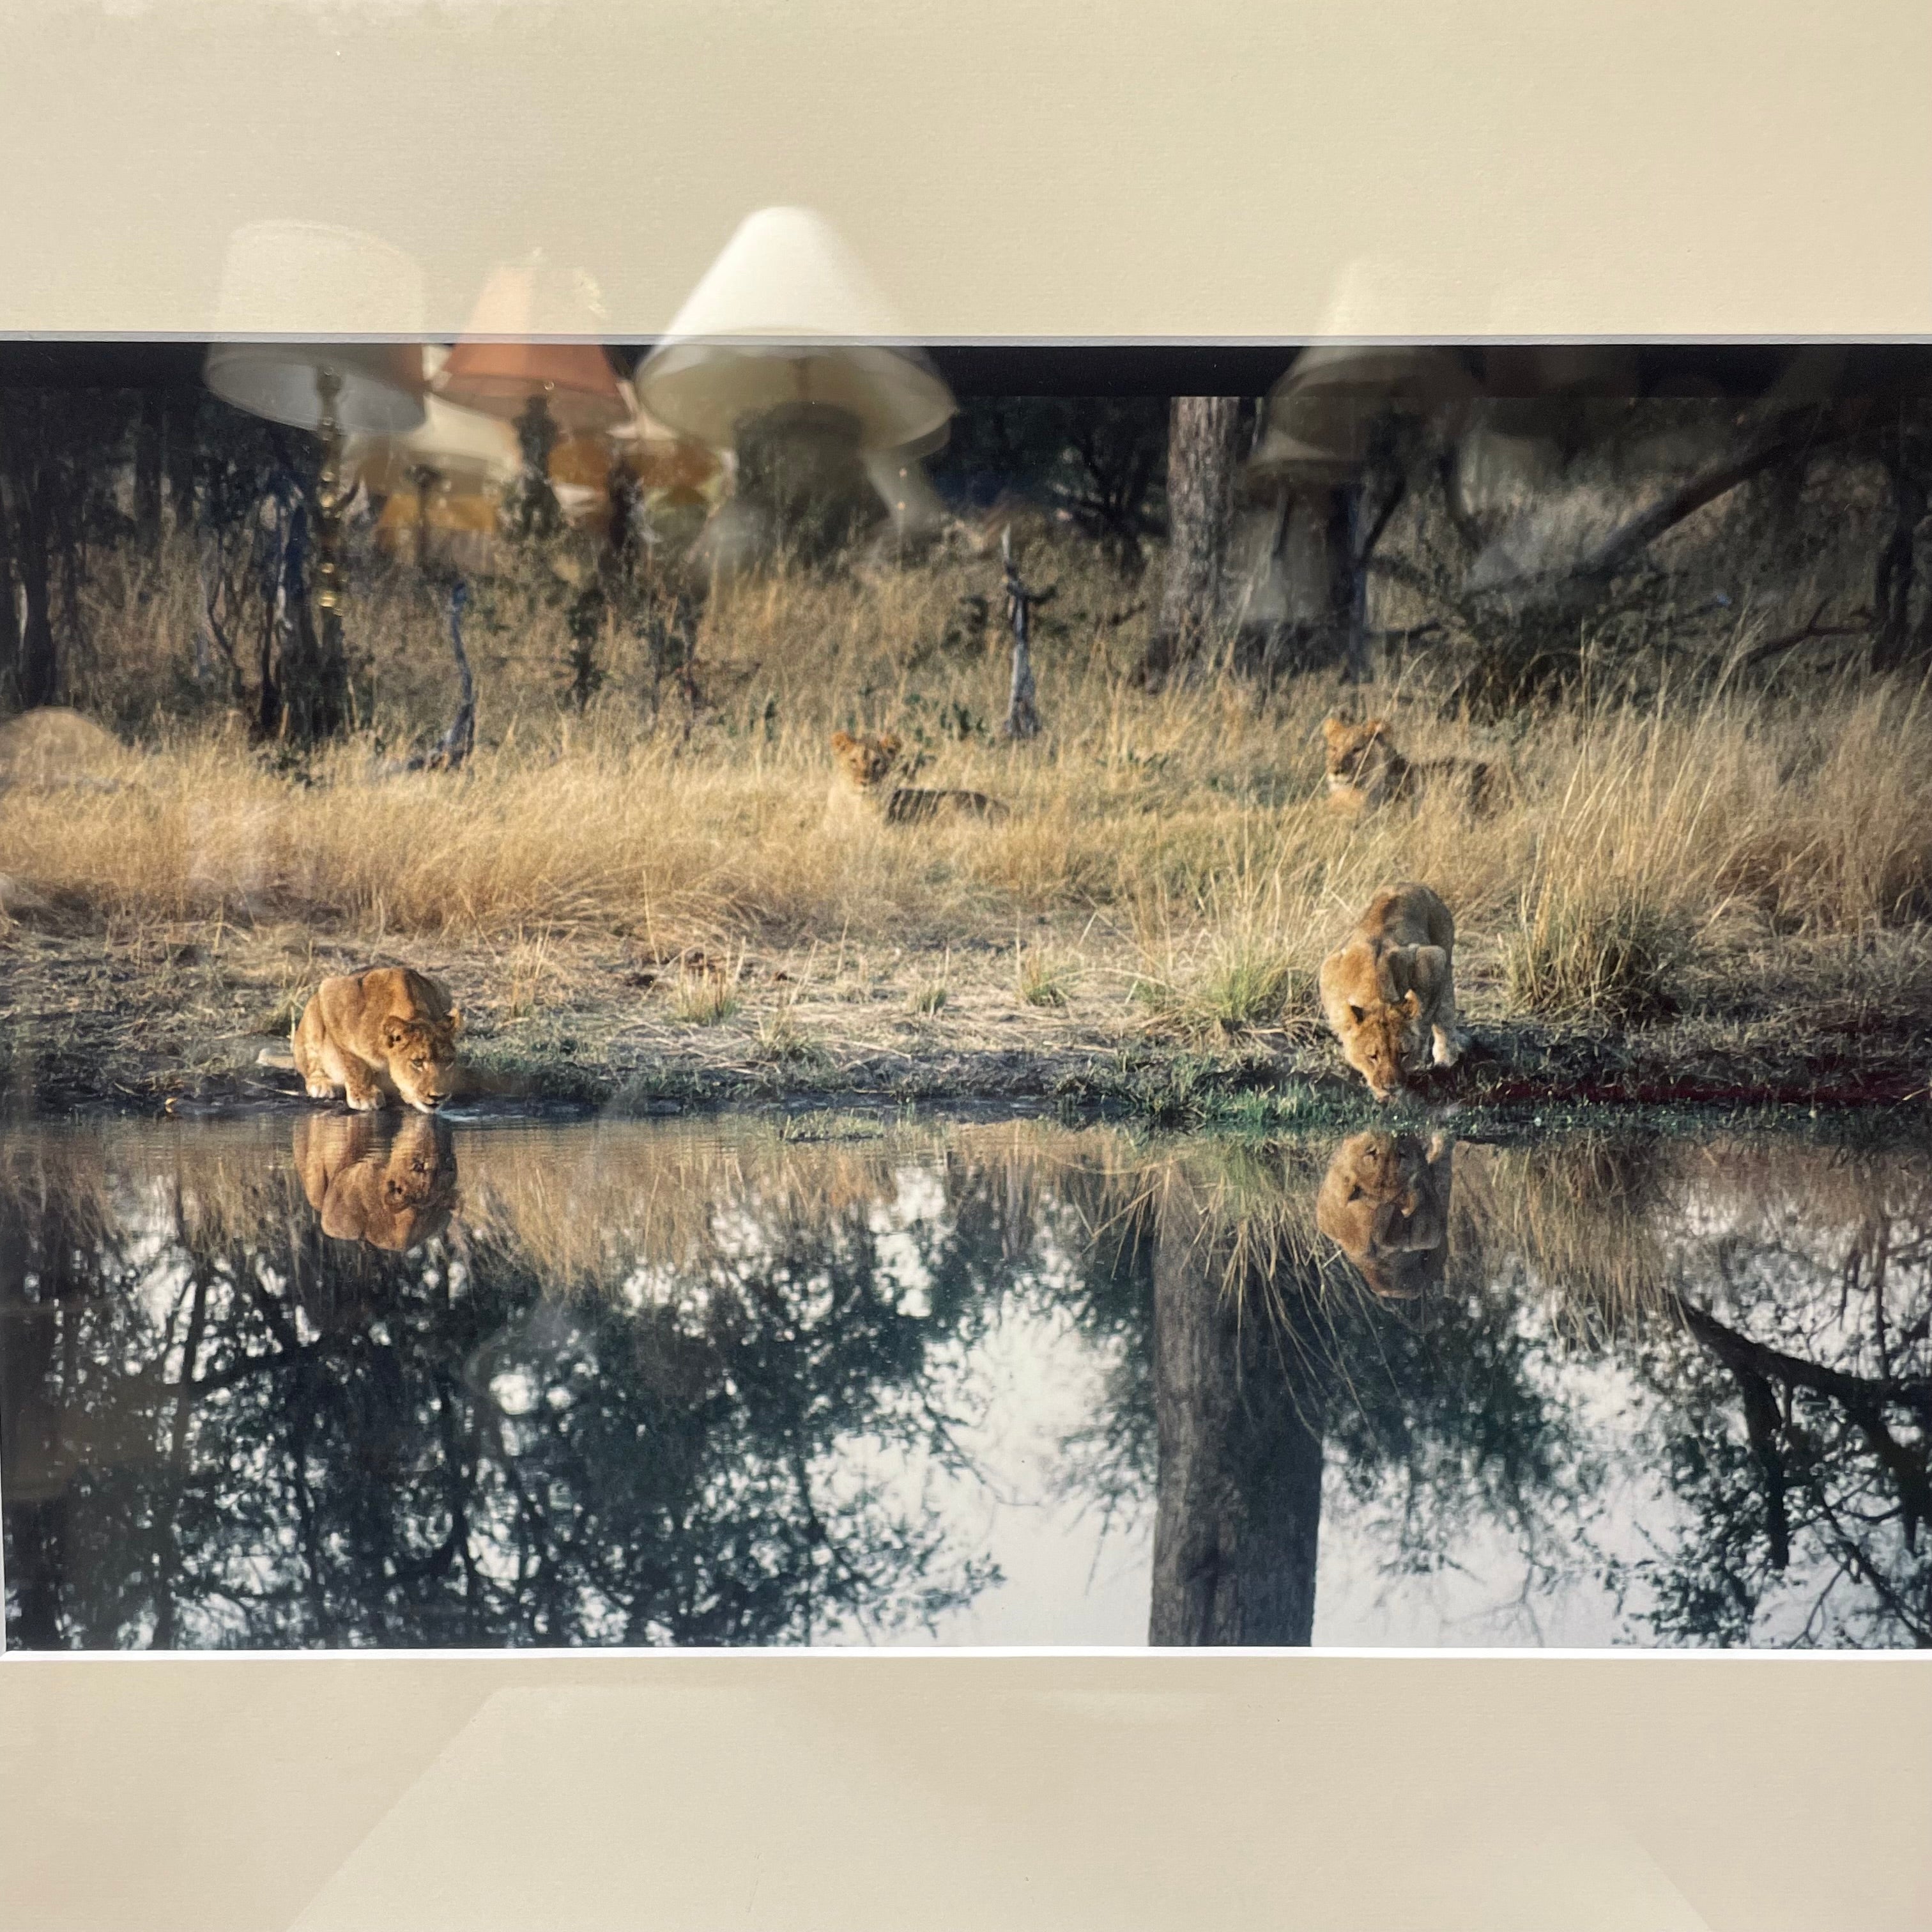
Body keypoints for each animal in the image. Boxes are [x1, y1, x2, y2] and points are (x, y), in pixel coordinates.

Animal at [291, 966, 463, 1114]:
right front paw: (364, 1097)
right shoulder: (331, 996)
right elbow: (355, 1063)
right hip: (313, 1014)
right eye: (418, 1063)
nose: (438, 1096)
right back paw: (322, 1084)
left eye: (449, 1062)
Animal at [827, 730, 1009, 827]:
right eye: (853, 761)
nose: (864, 783)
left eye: (877, 762)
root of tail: (1006, 808)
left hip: (950, 801)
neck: (855, 802)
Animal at [1318, 881, 1468, 1101]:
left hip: (1445, 951)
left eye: (1403, 1054)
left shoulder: (1432, 959)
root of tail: (1409, 884)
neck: (1377, 996)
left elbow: (1436, 1017)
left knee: (1446, 1012)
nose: (1391, 1088)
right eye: (1373, 1057)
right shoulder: (1329, 968)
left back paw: (1445, 1060)